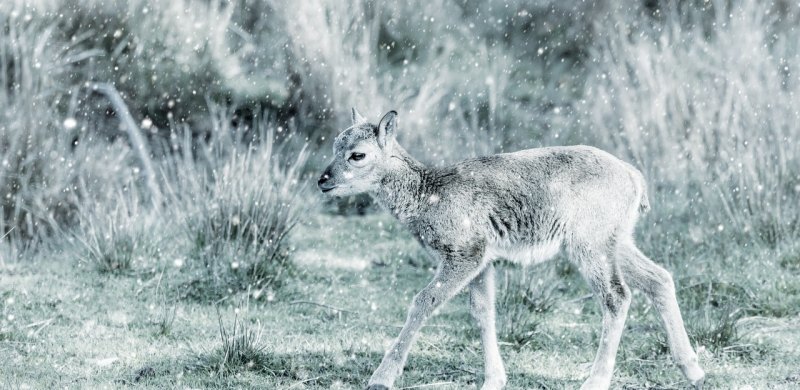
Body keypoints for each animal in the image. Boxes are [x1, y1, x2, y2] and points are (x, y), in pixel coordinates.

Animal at [316, 109, 704, 390]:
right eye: (335, 144)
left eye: (358, 155)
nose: (323, 180)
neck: (428, 196)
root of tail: (635, 178)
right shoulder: (483, 261)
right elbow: (483, 312)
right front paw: (494, 380)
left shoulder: (465, 252)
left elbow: (424, 301)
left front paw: (381, 377)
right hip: (615, 239)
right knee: (659, 278)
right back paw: (693, 369)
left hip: (589, 243)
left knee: (617, 295)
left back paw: (595, 381)